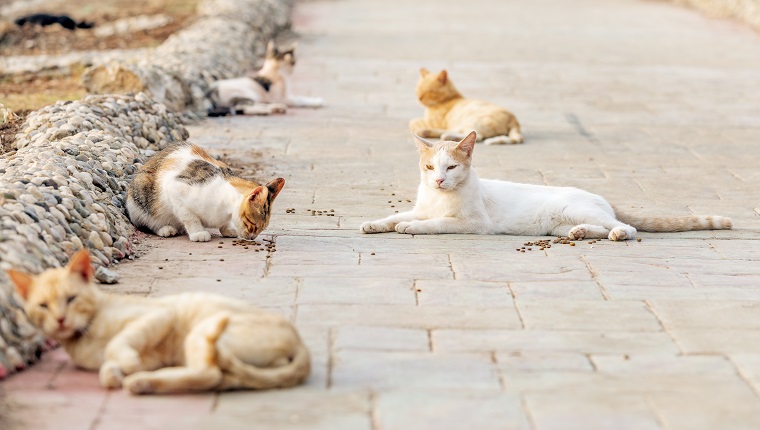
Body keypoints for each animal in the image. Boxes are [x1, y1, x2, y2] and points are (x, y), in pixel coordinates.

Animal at [5, 250, 308, 394]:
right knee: (217, 377)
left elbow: (118, 344)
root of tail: (300, 341)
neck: (84, 336)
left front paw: (126, 364)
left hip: (202, 330)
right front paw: (115, 374)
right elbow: (108, 369)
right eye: (43, 306)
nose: (60, 319)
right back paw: (144, 382)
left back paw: (142, 381)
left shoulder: (161, 314)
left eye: (71, 299)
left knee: (209, 374)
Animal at [126, 141, 284, 242]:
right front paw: (198, 233)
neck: (226, 209)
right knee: (147, 223)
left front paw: (227, 229)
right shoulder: (174, 188)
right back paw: (166, 229)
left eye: (262, 229)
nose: (252, 238)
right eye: (253, 225)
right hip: (140, 194)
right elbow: (189, 217)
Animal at [360, 132, 732, 239]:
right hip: (558, 224)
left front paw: (412, 228)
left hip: (577, 207)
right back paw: (581, 234)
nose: (438, 179)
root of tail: (600, 197)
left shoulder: (474, 224)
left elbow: (434, 223)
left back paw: (617, 233)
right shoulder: (422, 206)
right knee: (596, 228)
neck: (440, 197)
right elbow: (395, 217)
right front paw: (374, 224)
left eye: (451, 167)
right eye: (428, 167)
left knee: (626, 227)